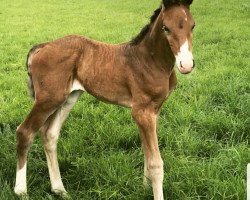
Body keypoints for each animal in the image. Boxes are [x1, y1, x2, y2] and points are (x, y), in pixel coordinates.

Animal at [14, 0, 196, 198]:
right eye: (166, 28)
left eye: (193, 26)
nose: (186, 65)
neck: (149, 60)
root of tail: (42, 46)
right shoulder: (141, 111)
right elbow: (156, 164)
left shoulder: (154, 111)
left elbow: (147, 155)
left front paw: (144, 187)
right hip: (48, 99)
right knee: (25, 132)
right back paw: (21, 191)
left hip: (67, 98)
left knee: (49, 134)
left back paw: (60, 190)